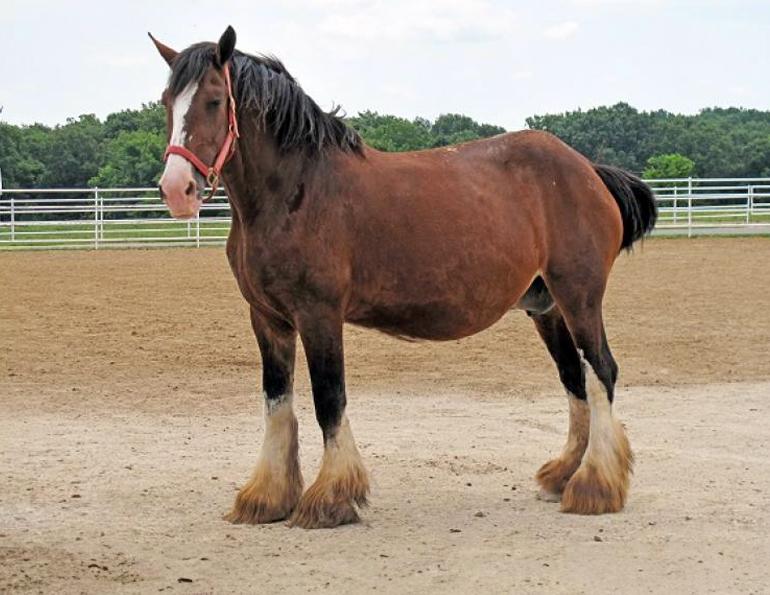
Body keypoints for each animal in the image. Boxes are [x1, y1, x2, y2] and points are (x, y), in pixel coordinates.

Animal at [150, 26, 657, 529]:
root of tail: (587, 169)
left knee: (601, 372)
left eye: (215, 100)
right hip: (546, 307)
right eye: (166, 101)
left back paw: (595, 486)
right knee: (574, 378)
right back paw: (565, 475)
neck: (296, 189)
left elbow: (328, 398)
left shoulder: (318, 315)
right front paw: (268, 496)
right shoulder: (268, 318)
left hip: (579, 297)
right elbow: (277, 402)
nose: (177, 190)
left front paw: (331, 497)